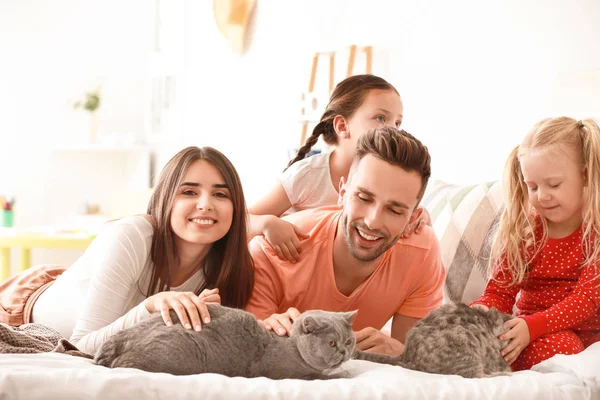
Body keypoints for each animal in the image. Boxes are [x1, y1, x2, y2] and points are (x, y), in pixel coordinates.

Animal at [94, 304, 356, 380]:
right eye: (332, 344)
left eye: (349, 341)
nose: (345, 352)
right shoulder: (288, 374)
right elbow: (322, 377)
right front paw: (342, 374)